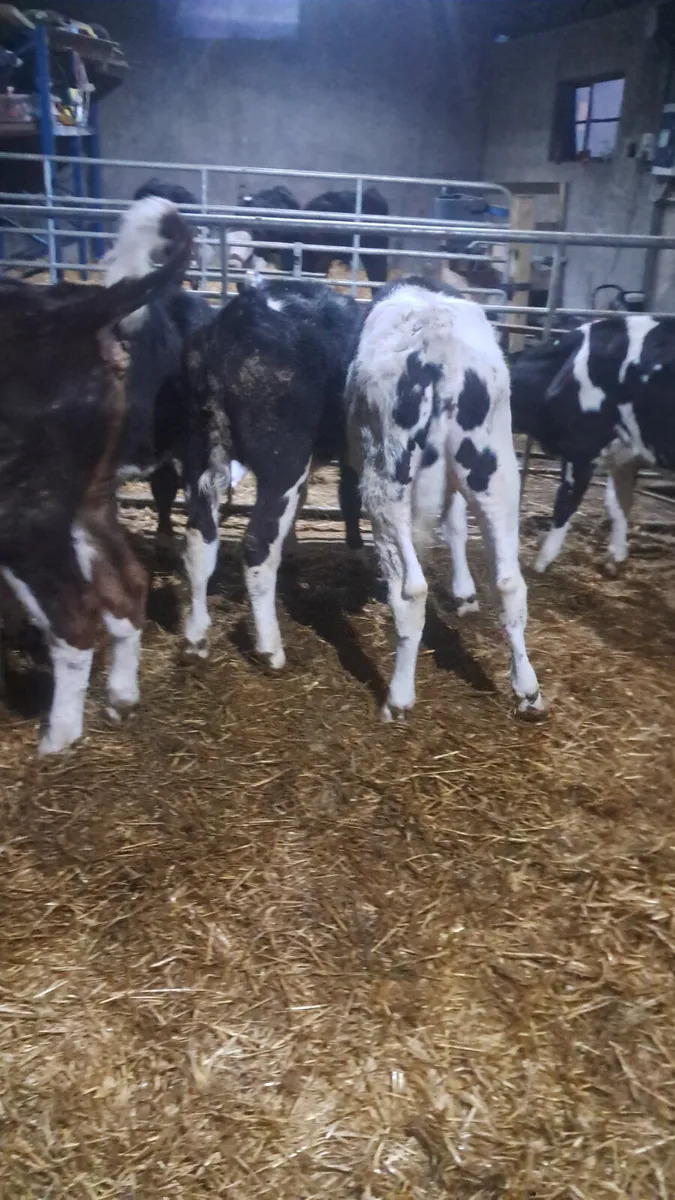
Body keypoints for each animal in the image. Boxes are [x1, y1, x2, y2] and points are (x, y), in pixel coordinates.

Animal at [0, 197, 193, 754]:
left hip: (25, 512)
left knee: (75, 617)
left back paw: (56, 741)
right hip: (89, 495)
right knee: (126, 582)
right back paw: (119, 700)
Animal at [346, 277, 543, 720]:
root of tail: (439, 343)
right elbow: (454, 525)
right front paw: (464, 593)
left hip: (385, 479)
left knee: (411, 589)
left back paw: (398, 698)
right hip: (496, 472)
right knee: (509, 582)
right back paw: (528, 691)